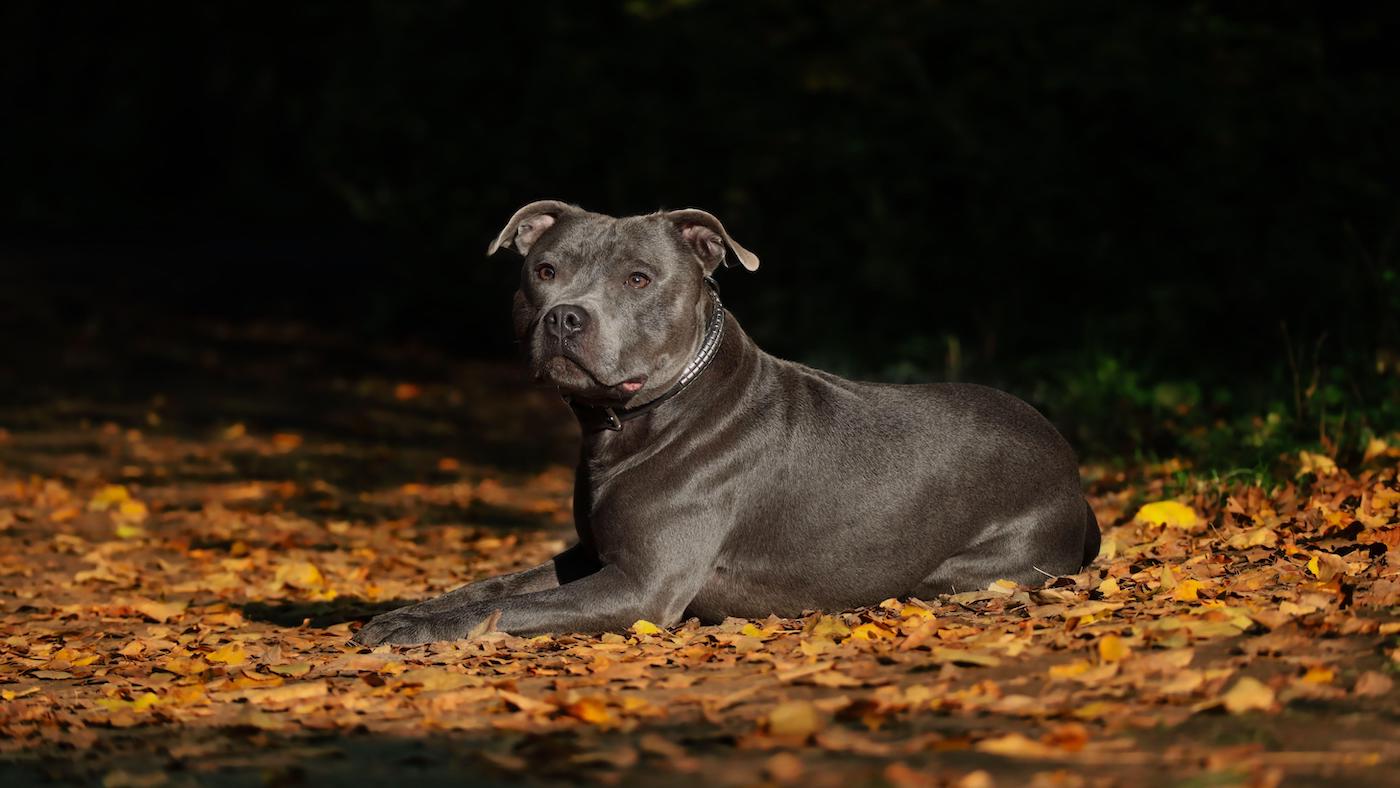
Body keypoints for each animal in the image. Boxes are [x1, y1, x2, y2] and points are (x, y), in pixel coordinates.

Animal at [347, 198, 1092, 646]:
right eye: (544, 270)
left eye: (639, 279)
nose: (565, 317)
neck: (640, 419)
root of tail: (1069, 459)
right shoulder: (594, 554)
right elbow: (495, 586)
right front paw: (407, 612)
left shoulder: (642, 586)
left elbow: (510, 607)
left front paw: (409, 631)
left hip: (961, 568)